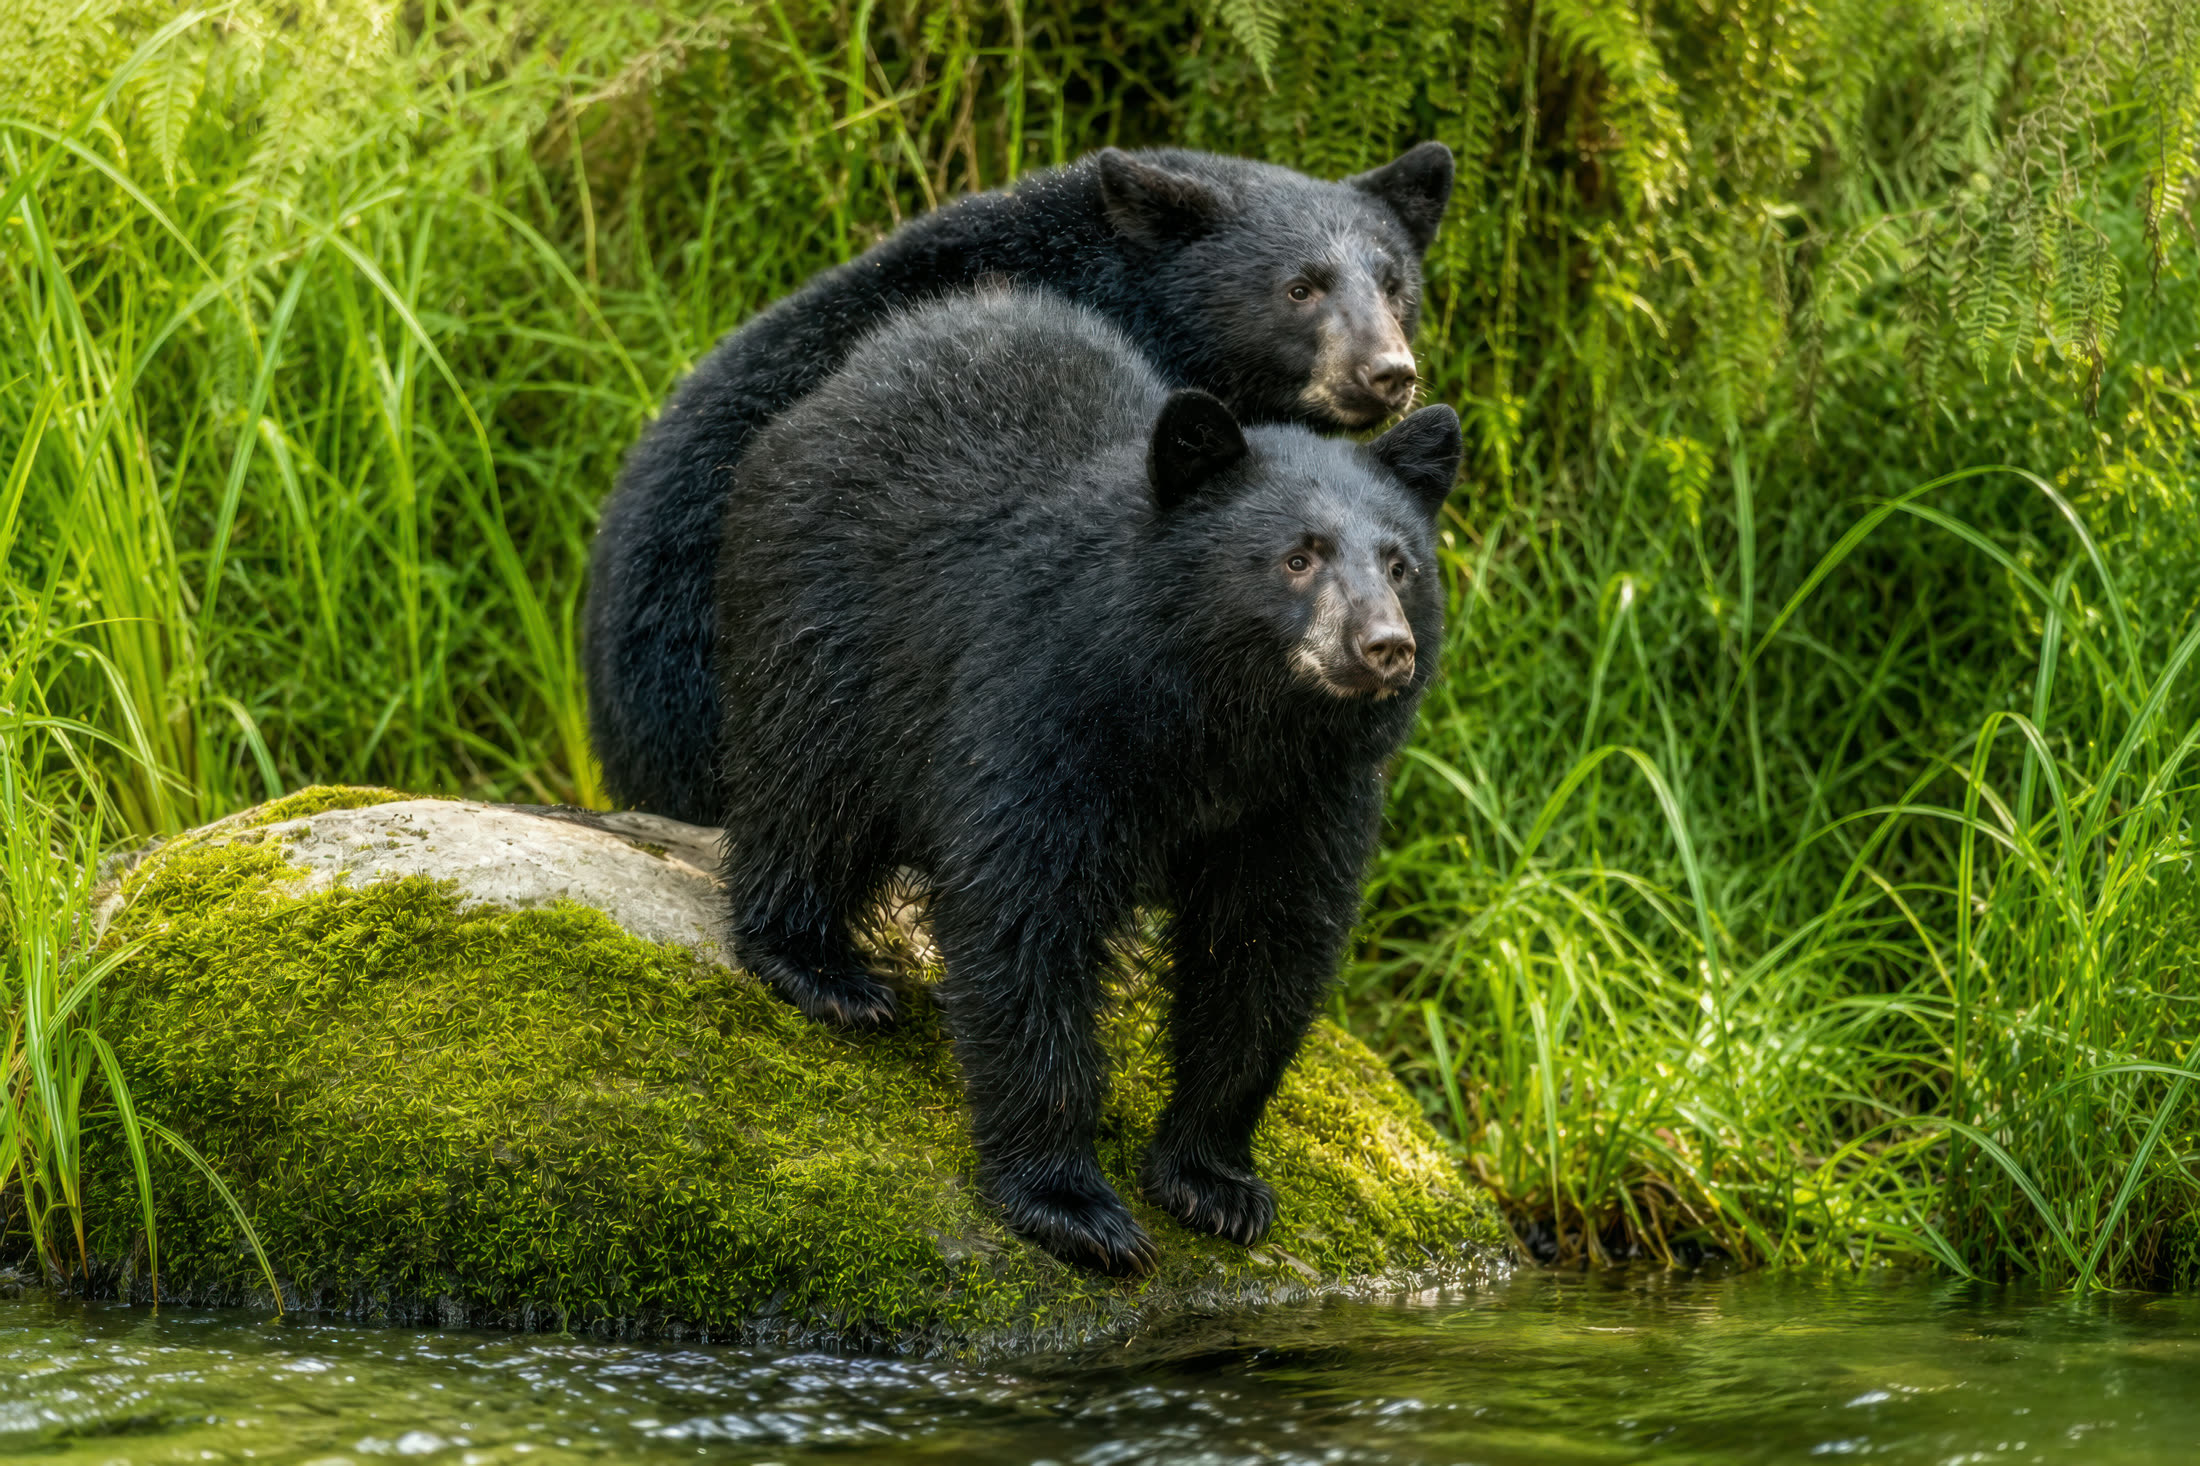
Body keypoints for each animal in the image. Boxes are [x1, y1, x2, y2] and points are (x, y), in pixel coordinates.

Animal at [713, 289, 1462, 1276]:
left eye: (1400, 564)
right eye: (1299, 556)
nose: (1384, 648)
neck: (1219, 724)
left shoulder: (1304, 795)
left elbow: (1266, 949)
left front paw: (1214, 1180)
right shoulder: (1048, 709)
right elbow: (1029, 919)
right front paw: (1072, 1204)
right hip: (828, 621)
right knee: (808, 789)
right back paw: (821, 968)